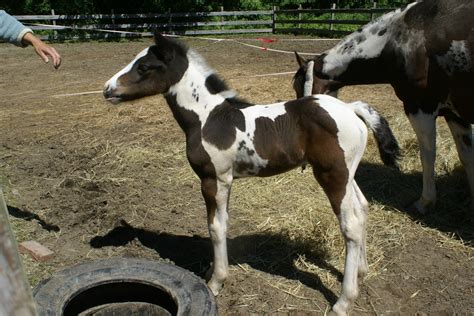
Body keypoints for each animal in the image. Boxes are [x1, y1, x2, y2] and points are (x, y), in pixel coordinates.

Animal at [103, 33, 400, 314]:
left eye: (144, 66)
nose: (107, 89)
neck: (207, 118)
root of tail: (350, 108)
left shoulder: (213, 179)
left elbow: (215, 227)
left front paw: (216, 281)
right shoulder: (227, 181)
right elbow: (223, 222)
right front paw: (213, 271)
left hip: (332, 175)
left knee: (351, 224)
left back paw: (343, 301)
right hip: (349, 174)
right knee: (362, 208)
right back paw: (361, 270)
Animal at [292, 0, 474, 214]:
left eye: (298, 87)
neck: (398, 40)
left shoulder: (420, 109)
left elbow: (428, 156)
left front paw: (424, 202)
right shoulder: (454, 114)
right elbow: (466, 156)